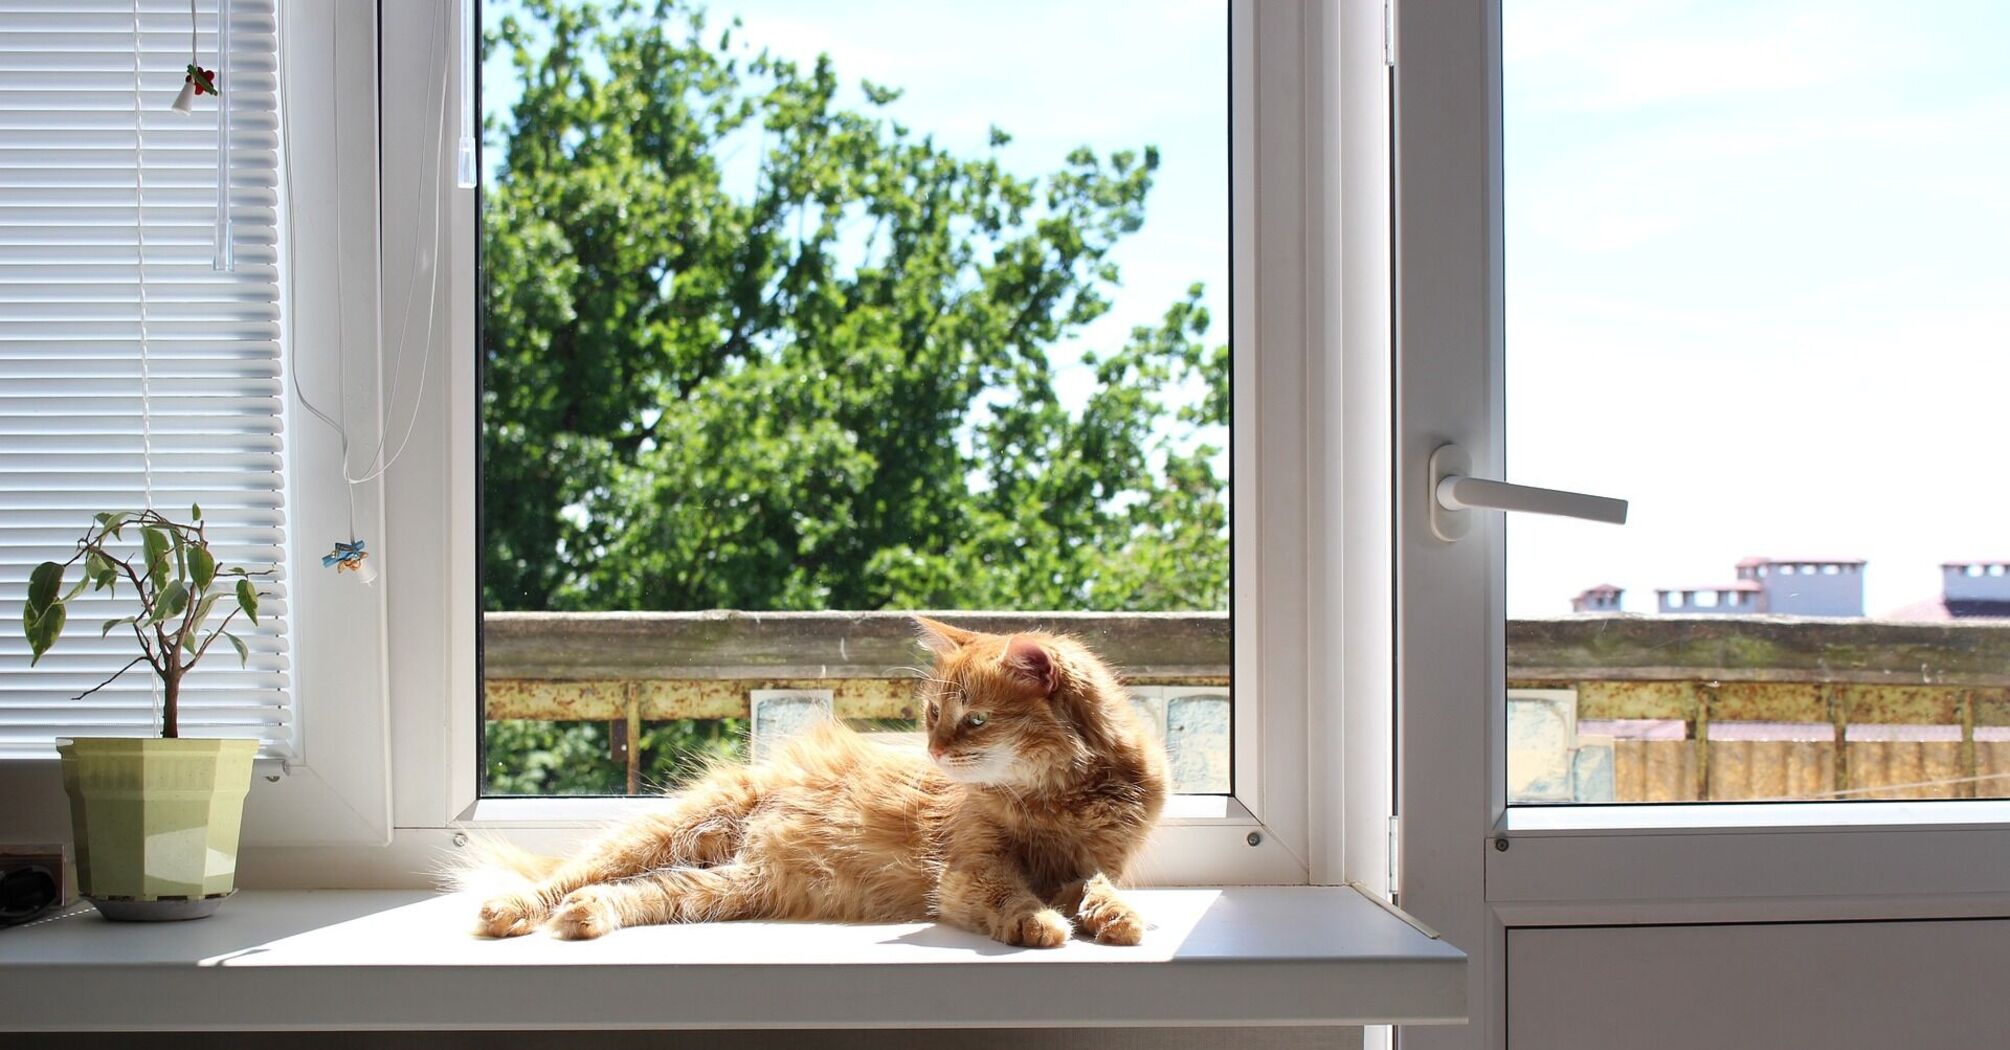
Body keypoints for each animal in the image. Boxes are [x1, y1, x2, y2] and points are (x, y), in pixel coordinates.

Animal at [457, 615, 1169, 947]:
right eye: (931, 715)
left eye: (974, 721)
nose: (934, 750)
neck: (1061, 797)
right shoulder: (971, 869)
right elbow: (1012, 896)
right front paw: (1040, 924)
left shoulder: (1086, 863)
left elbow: (1097, 888)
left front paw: (1119, 919)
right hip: (667, 832)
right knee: (565, 878)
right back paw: (512, 911)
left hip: (728, 888)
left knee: (638, 893)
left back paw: (587, 917)